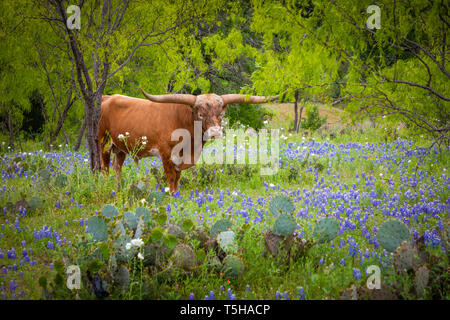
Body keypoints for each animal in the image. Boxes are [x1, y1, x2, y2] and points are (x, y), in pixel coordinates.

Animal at [97, 89, 284, 195]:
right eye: (200, 113)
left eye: (221, 114)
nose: (215, 132)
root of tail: (106, 98)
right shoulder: (166, 153)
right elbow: (171, 177)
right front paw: (172, 195)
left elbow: (177, 177)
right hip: (103, 141)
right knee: (105, 168)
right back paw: (106, 188)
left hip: (119, 147)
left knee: (117, 167)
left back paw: (118, 190)